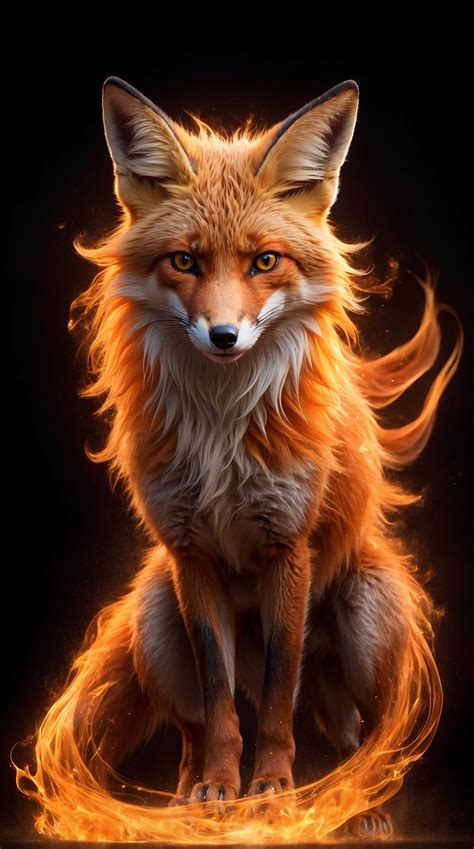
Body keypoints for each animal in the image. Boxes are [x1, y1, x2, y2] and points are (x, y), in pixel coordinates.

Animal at [15, 76, 463, 842]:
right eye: (185, 260)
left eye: (264, 261)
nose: (223, 336)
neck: (223, 431)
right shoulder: (191, 552)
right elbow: (222, 706)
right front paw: (225, 791)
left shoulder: (289, 548)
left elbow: (280, 702)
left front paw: (274, 790)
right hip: (157, 618)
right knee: (194, 729)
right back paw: (187, 802)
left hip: (369, 617)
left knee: (364, 735)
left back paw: (365, 807)